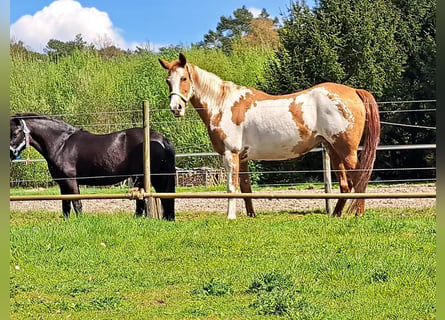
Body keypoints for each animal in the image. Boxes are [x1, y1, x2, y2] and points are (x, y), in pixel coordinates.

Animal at [9, 112, 176, 220]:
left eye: (15, 133)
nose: (9, 154)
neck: (61, 144)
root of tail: (161, 139)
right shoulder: (62, 183)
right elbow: (66, 206)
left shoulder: (70, 180)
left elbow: (77, 203)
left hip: (143, 177)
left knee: (142, 201)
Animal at [158, 53, 380, 220]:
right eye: (168, 81)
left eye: (184, 78)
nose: (176, 108)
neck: (223, 105)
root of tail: (353, 92)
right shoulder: (243, 158)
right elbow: (246, 187)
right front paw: (251, 216)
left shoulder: (231, 155)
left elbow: (231, 187)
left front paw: (230, 217)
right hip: (333, 150)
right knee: (346, 185)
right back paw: (336, 214)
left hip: (346, 150)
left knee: (359, 178)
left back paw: (358, 214)